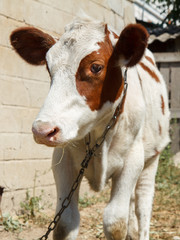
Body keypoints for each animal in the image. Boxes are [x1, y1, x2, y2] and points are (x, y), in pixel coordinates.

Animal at [10, 17, 169, 240]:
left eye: (96, 67)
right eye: (48, 67)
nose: (42, 130)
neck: (99, 133)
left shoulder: (133, 159)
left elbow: (115, 222)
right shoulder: (64, 160)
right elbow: (65, 222)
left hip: (152, 158)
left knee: (143, 205)